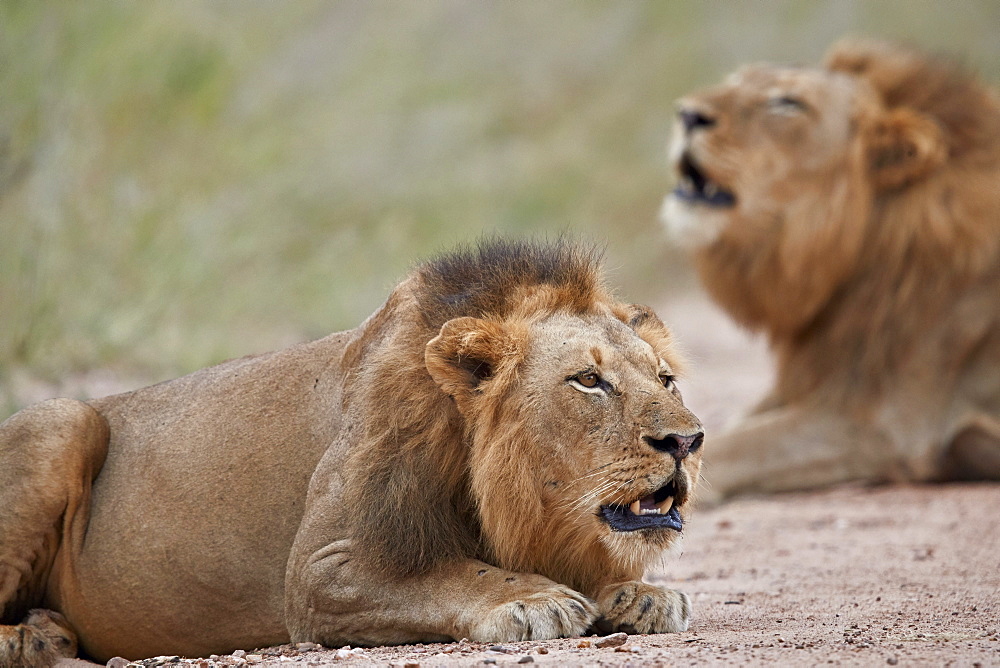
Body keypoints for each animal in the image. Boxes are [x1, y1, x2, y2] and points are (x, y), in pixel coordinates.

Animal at [0, 239, 704, 664]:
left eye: (665, 379)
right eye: (588, 381)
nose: (686, 440)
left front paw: (637, 595)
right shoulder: (322, 571)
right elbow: (449, 573)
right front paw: (533, 600)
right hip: (61, 419)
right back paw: (31, 637)